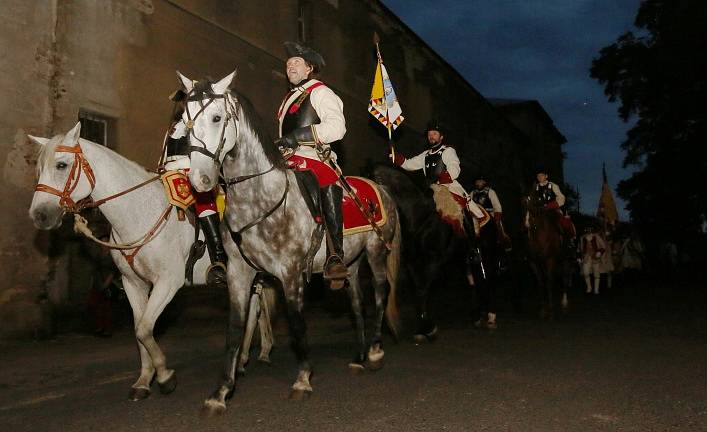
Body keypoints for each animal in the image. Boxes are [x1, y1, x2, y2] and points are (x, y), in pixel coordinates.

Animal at [27, 121, 274, 402]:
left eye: (61, 165)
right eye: (38, 169)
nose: (39, 215)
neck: (139, 212)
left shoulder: (167, 283)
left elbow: (145, 329)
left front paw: (165, 377)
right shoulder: (133, 284)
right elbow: (138, 330)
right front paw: (144, 381)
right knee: (254, 310)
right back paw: (245, 359)